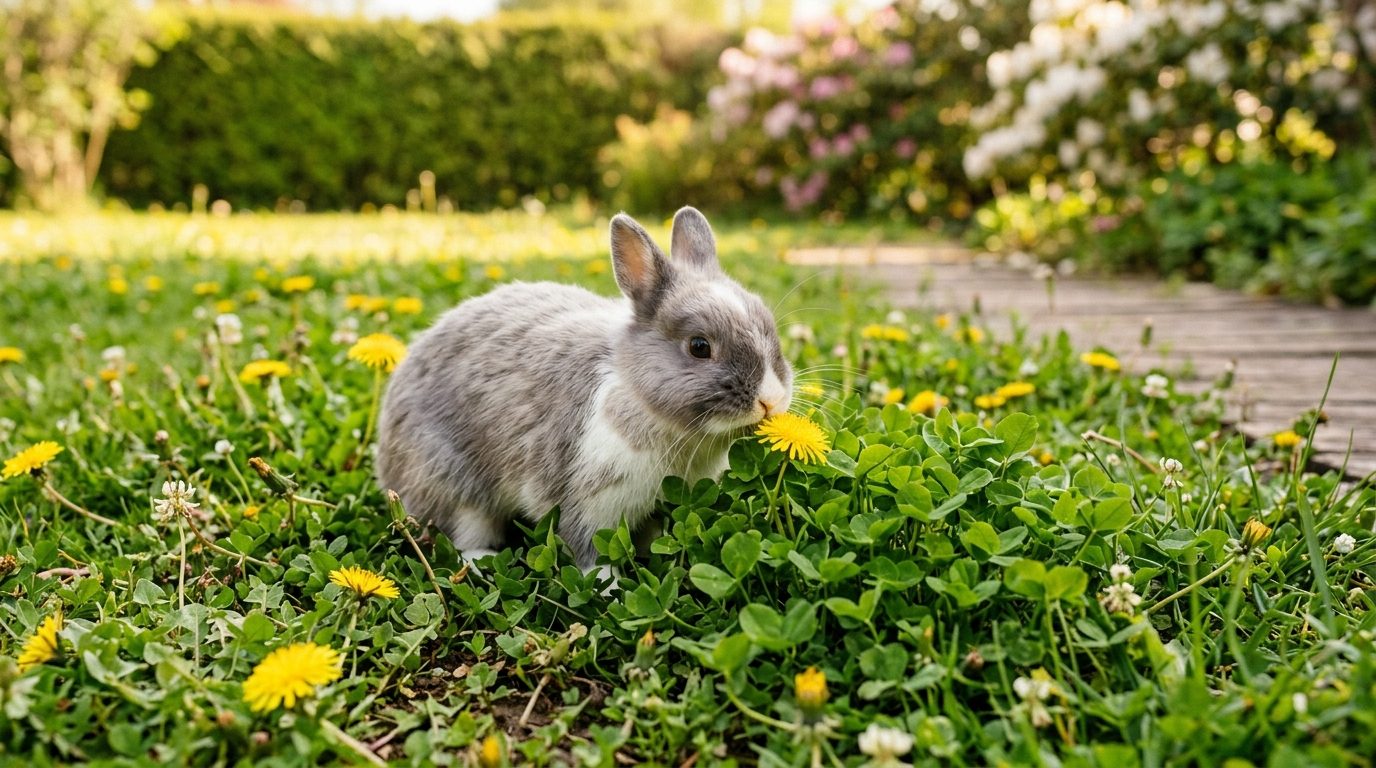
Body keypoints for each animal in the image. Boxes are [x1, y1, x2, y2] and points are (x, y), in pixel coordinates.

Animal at [376, 207, 793, 573]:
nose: (770, 401)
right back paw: (483, 562)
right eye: (699, 346)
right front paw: (611, 587)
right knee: (460, 534)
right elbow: (590, 552)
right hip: (454, 486)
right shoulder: (592, 500)